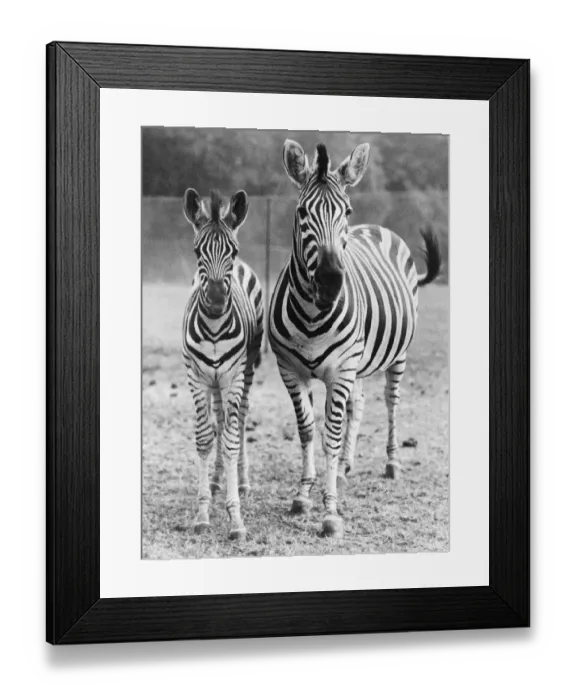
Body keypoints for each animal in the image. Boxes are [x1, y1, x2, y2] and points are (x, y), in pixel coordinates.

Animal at [269, 141, 441, 538]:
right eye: (302, 211)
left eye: (346, 211)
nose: (331, 280)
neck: (313, 314)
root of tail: (377, 228)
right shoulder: (290, 369)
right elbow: (307, 430)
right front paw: (303, 494)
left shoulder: (341, 369)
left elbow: (330, 435)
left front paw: (330, 511)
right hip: (358, 365)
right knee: (358, 404)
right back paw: (346, 467)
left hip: (395, 355)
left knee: (390, 401)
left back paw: (392, 463)